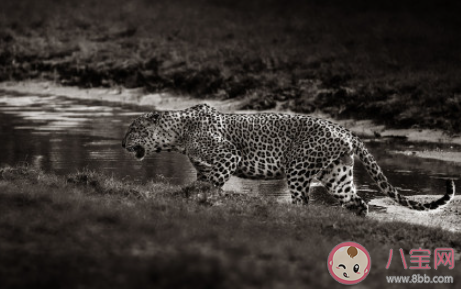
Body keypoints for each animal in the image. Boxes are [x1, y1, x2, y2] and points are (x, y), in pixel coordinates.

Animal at [120, 103, 454, 214]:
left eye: (133, 128)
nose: (122, 144)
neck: (178, 134)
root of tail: (345, 129)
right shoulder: (203, 165)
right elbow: (203, 182)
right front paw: (193, 197)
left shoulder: (228, 155)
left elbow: (212, 182)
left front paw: (204, 198)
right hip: (337, 174)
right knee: (357, 201)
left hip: (298, 167)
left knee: (302, 200)